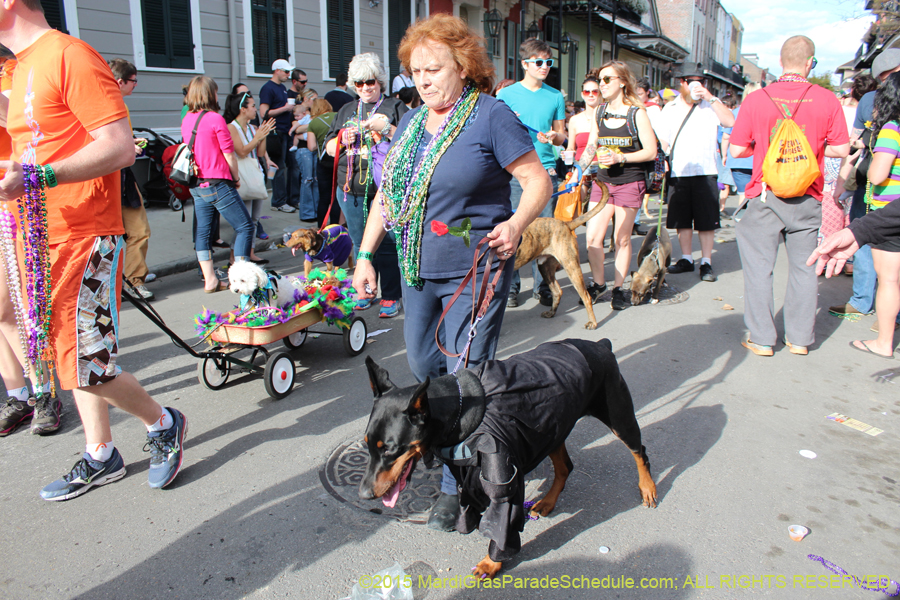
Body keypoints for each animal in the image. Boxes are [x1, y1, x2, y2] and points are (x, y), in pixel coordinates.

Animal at [358, 338, 660, 576]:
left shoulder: (503, 479)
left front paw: (492, 562)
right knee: (565, 467)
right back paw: (547, 502)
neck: (459, 409)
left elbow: (502, 519)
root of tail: (600, 345)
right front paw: (469, 523)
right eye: (368, 445)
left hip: (618, 414)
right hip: (551, 427)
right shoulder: (465, 471)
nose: (364, 494)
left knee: (640, 451)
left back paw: (648, 488)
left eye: (390, 449)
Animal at [512, 180, 612, 330]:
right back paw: (551, 312)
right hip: (545, 267)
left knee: (586, 296)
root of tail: (566, 224)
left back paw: (592, 323)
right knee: (557, 292)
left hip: (571, 266)